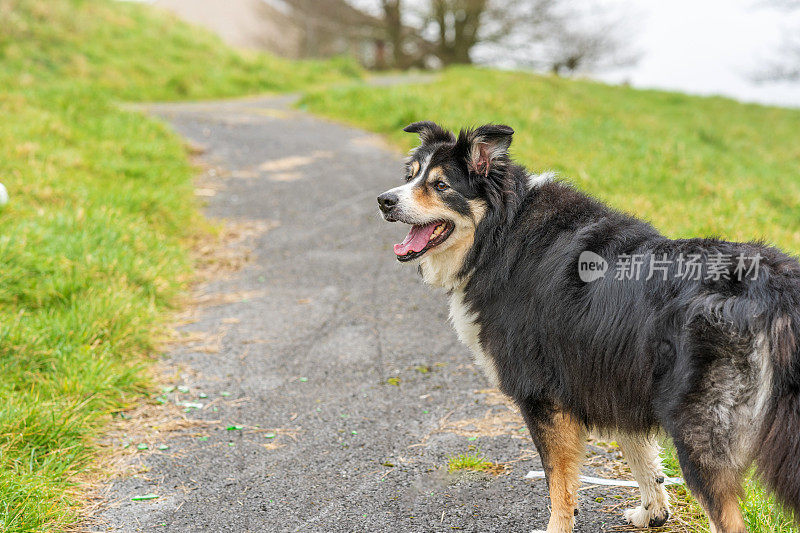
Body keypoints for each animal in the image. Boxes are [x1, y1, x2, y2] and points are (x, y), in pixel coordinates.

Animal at [376, 121, 800, 532]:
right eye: (410, 176)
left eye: (441, 185)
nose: (384, 201)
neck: (500, 232)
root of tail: (774, 285)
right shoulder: (612, 375)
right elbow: (640, 457)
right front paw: (653, 512)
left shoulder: (543, 395)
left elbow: (559, 483)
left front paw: (557, 527)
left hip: (697, 431)